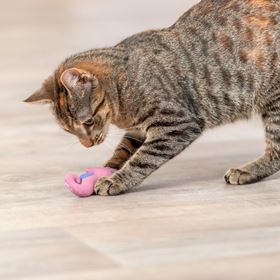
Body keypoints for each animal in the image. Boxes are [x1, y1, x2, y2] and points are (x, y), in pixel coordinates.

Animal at [25, 0, 280, 196]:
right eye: (69, 131)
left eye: (87, 122)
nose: (86, 145)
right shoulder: (137, 130)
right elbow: (123, 151)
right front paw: (109, 168)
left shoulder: (177, 124)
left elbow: (143, 158)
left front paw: (115, 180)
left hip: (274, 101)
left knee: (275, 152)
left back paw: (246, 171)